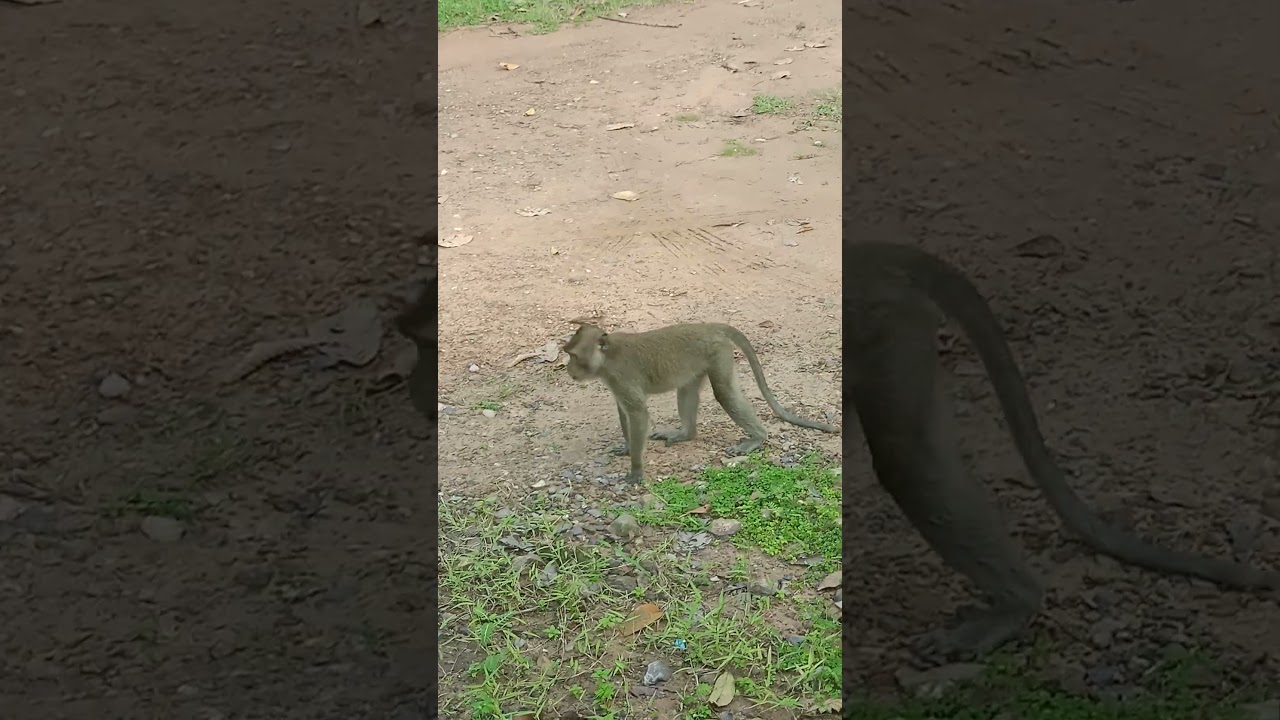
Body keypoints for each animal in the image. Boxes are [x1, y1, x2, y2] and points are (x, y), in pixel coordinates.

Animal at [561, 321, 840, 484]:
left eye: (573, 356)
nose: (567, 368)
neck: (606, 357)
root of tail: (710, 325)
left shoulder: (620, 376)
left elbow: (638, 413)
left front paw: (636, 469)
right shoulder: (615, 382)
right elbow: (624, 411)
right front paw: (629, 448)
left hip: (718, 353)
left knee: (724, 392)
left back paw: (758, 437)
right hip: (698, 362)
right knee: (687, 390)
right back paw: (687, 433)